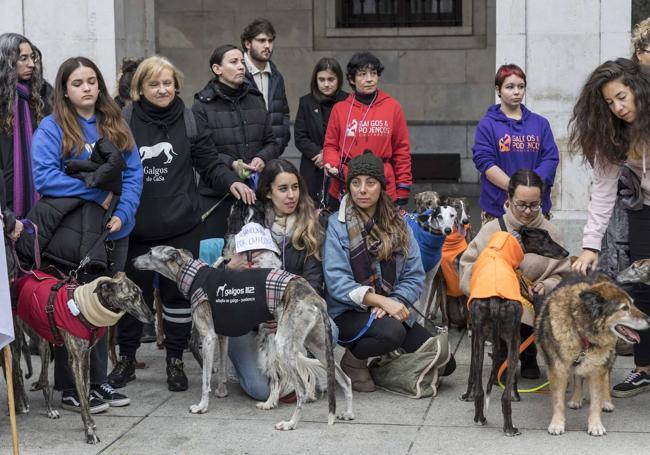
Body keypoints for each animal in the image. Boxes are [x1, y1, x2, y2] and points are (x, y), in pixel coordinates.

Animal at [14, 272, 152, 444]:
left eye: (140, 293)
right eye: (133, 296)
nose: (152, 318)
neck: (87, 307)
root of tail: (18, 279)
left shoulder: (86, 357)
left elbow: (86, 394)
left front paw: (91, 424)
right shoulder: (76, 361)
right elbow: (82, 399)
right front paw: (89, 432)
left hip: (41, 339)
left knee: (43, 376)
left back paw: (47, 405)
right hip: (26, 341)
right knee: (19, 372)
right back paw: (25, 405)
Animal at [133, 246, 354, 432]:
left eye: (151, 252)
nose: (133, 260)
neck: (192, 274)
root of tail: (313, 295)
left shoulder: (209, 337)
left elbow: (205, 380)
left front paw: (202, 406)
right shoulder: (222, 336)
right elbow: (222, 369)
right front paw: (222, 392)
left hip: (284, 345)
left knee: (301, 390)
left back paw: (290, 423)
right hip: (318, 345)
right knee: (345, 379)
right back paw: (347, 412)